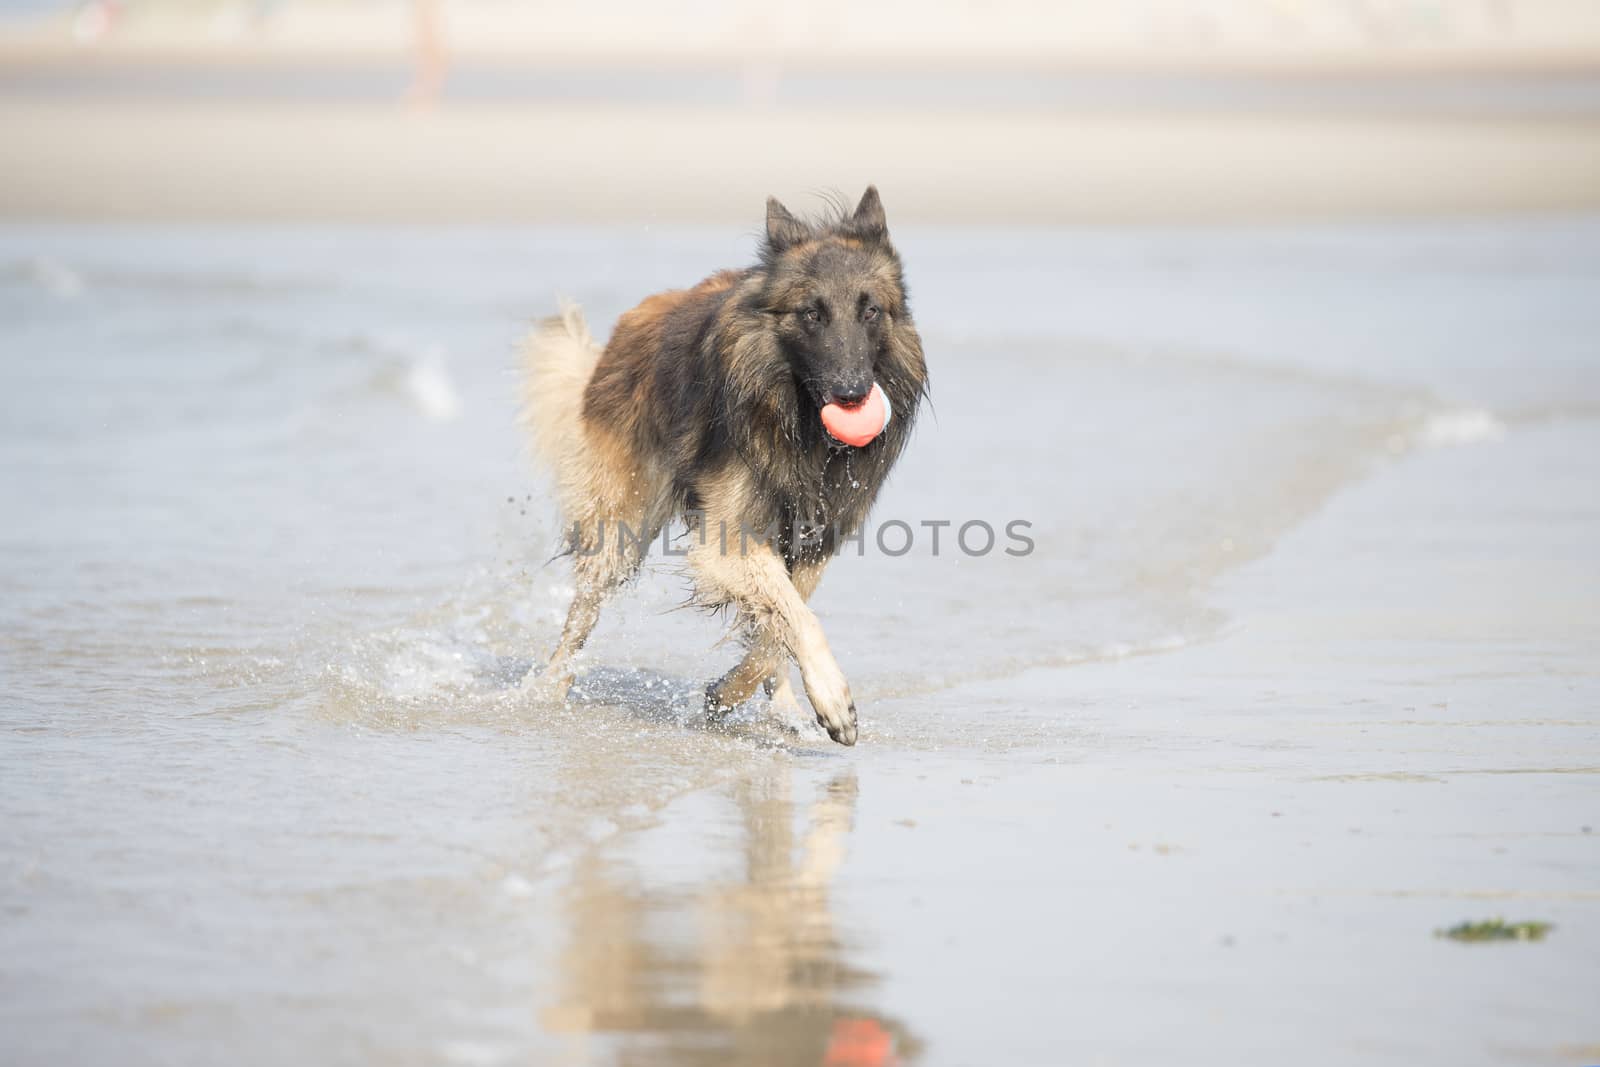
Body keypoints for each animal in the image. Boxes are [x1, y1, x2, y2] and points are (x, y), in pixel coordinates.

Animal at [524, 189, 928, 742]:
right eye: (811, 313)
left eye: (870, 311)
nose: (852, 394)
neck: (798, 422)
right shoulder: (728, 537)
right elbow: (797, 618)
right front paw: (833, 699)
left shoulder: (813, 541)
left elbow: (777, 627)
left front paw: (731, 694)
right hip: (622, 528)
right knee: (582, 612)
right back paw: (548, 689)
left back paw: (781, 707)